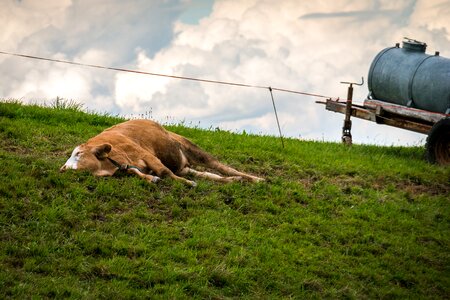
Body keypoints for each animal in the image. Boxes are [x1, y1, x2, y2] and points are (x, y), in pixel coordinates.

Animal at [59, 119, 264, 185]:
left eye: (78, 154)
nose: (63, 168)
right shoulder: (128, 167)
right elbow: (138, 173)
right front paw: (151, 179)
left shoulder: (146, 155)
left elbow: (164, 171)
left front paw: (187, 184)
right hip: (184, 166)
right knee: (211, 175)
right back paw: (234, 180)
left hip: (192, 148)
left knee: (222, 167)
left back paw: (256, 179)